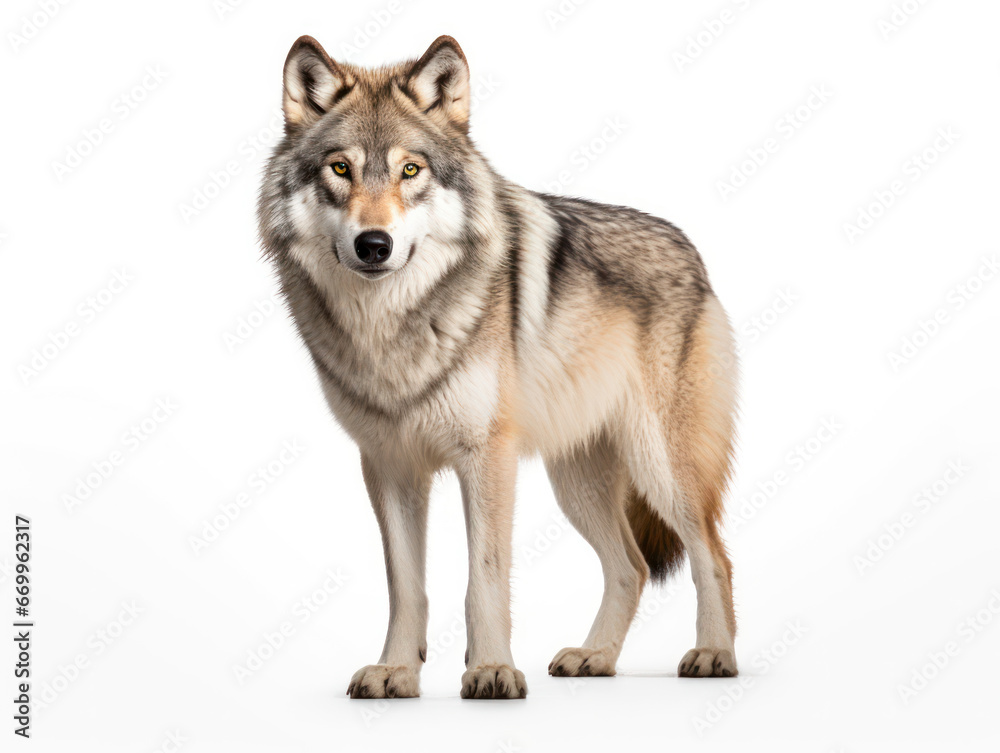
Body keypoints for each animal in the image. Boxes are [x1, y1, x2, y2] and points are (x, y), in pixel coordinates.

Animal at [258, 34, 739, 699]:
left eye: (411, 171)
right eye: (340, 169)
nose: (374, 245)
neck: (391, 327)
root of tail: (694, 253)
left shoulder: (486, 458)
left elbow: (482, 579)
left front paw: (490, 670)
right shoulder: (389, 466)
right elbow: (407, 588)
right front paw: (396, 670)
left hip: (662, 467)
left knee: (711, 553)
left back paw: (714, 654)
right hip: (577, 483)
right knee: (632, 567)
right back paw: (594, 658)